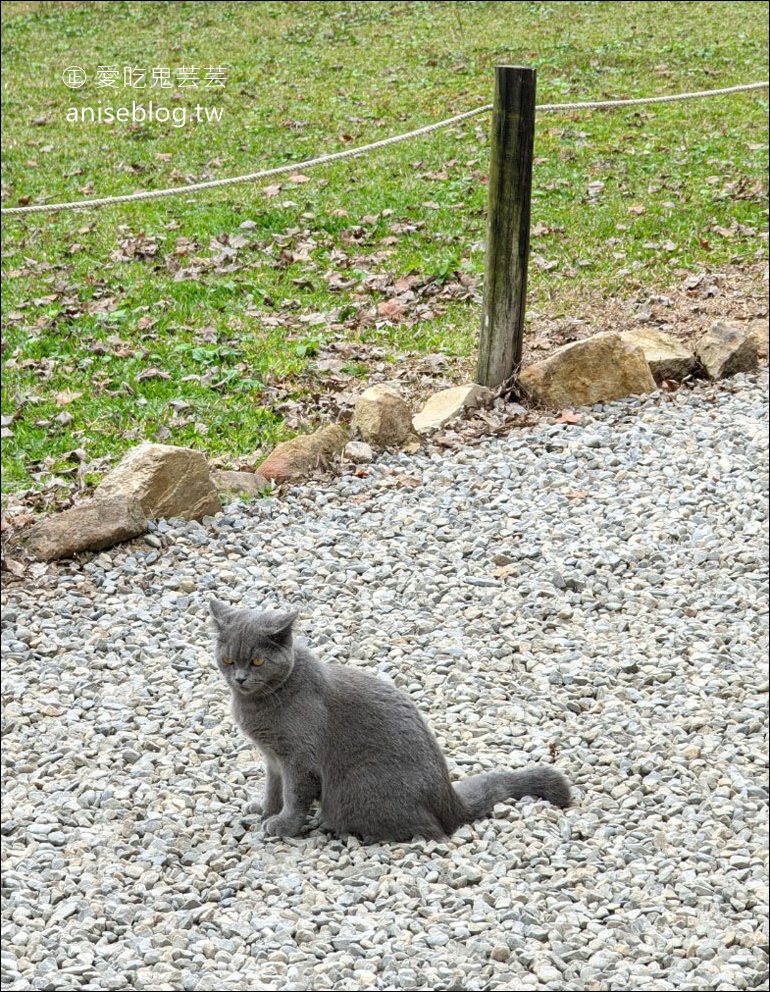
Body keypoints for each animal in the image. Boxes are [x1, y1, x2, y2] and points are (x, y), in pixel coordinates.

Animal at [210, 600, 568, 840]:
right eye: (227, 660)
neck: (258, 704)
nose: (239, 678)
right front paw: (264, 810)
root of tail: (450, 800)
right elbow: (274, 789)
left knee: (432, 831)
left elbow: (294, 795)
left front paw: (283, 825)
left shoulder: (298, 760)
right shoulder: (272, 758)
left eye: (257, 662)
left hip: (360, 787)